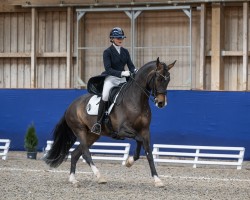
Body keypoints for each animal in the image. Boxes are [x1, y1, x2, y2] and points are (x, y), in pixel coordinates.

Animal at [44, 56, 176, 188]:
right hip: (79, 130)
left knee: (76, 154)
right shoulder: (122, 130)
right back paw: (99, 177)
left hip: (92, 135)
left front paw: (156, 179)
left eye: (168, 79)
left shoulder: (144, 130)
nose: (161, 103)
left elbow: (148, 152)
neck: (136, 100)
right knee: (86, 153)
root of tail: (71, 106)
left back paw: (73, 179)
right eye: (158, 78)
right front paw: (129, 162)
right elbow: (140, 140)